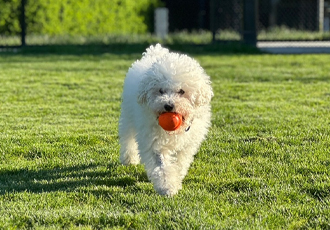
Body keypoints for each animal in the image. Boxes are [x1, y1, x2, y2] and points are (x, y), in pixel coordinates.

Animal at [118, 43, 214, 196]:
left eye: (181, 91)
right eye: (161, 91)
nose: (168, 105)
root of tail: (154, 53)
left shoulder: (188, 144)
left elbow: (181, 161)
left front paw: (177, 176)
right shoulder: (154, 141)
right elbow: (162, 165)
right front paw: (167, 187)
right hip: (128, 117)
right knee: (128, 139)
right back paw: (129, 159)